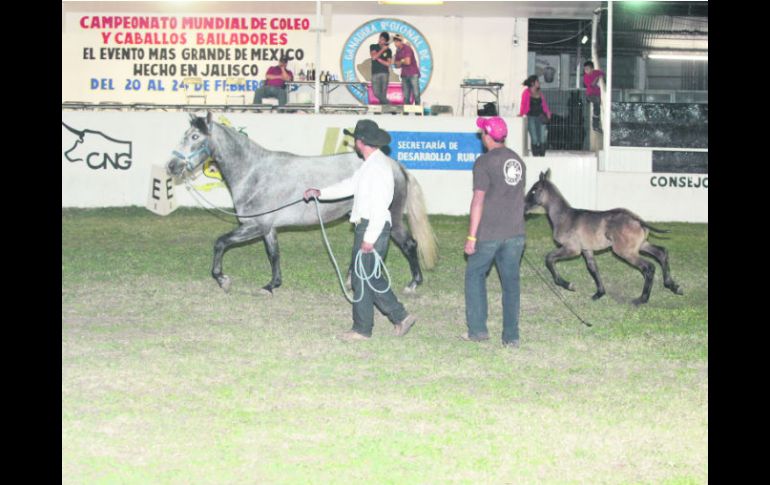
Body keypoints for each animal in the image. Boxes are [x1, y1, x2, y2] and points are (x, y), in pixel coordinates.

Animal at [164, 113, 436, 294]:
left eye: (195, 136)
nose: (172, 166)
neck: (254, 172)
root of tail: (394, 165)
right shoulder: (268, 229)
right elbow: (274, 254)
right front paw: (272, 284)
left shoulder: (255, 226)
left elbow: (220, 243)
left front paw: (222, 279)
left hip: (391, 218)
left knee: (409, 245)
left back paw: (413, 284)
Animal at [524, 166, 680, 302]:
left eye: (534, 190)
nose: (524, 207)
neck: (564, 216)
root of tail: (637, 219)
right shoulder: (587, 250)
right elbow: (593, 269)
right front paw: (599, 293)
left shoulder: (572, 249)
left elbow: (549, 259)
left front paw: (568, 285)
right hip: (640, 245)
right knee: (661, 252)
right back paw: (673, 286)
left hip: (624, 251)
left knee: (648, 267)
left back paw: (642, 299)